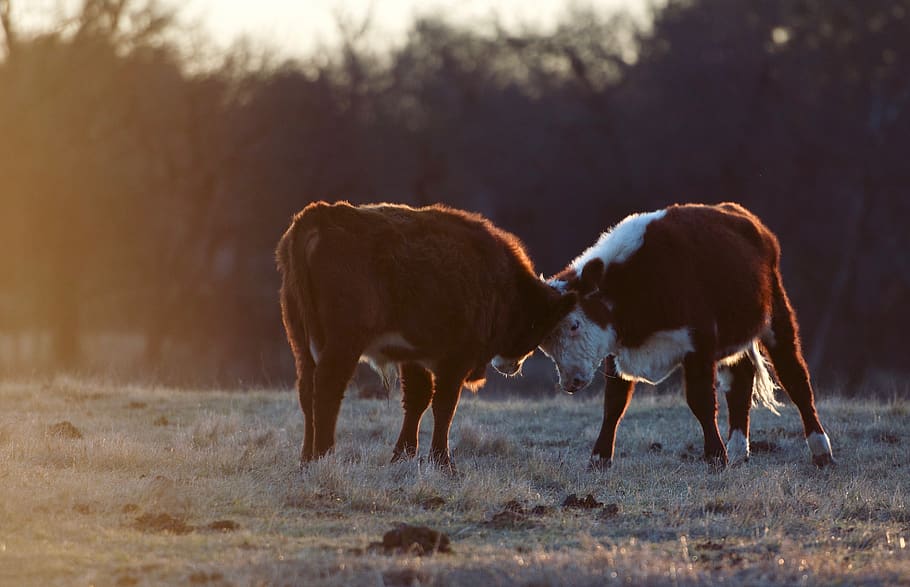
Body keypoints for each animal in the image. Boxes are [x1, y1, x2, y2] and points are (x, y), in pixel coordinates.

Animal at [276, 201, 576, 470]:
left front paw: (403, 455)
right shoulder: (455, 360)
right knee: (327, 389)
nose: (514, 365)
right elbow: (443, 406)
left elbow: (417, 401)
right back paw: (323, 455)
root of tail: (321, 215)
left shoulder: (413, 357)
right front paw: (443, 462)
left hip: (301, 344)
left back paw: (306, 458)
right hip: (343, 345)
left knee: (306, 392)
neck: (500, 281)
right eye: (538, 325)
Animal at [537, 202, 835, 469]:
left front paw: (716, 457)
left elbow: (701, 401)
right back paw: (739, 451)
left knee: (795, 378)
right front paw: (599, 459)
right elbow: (614, 404)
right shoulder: (616, 351)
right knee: (739, 381)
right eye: (545, 345)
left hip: (777, 317)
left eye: (574, 325)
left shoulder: (699, 345)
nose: (570, 382)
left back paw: (821, 451)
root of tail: (745, 217)